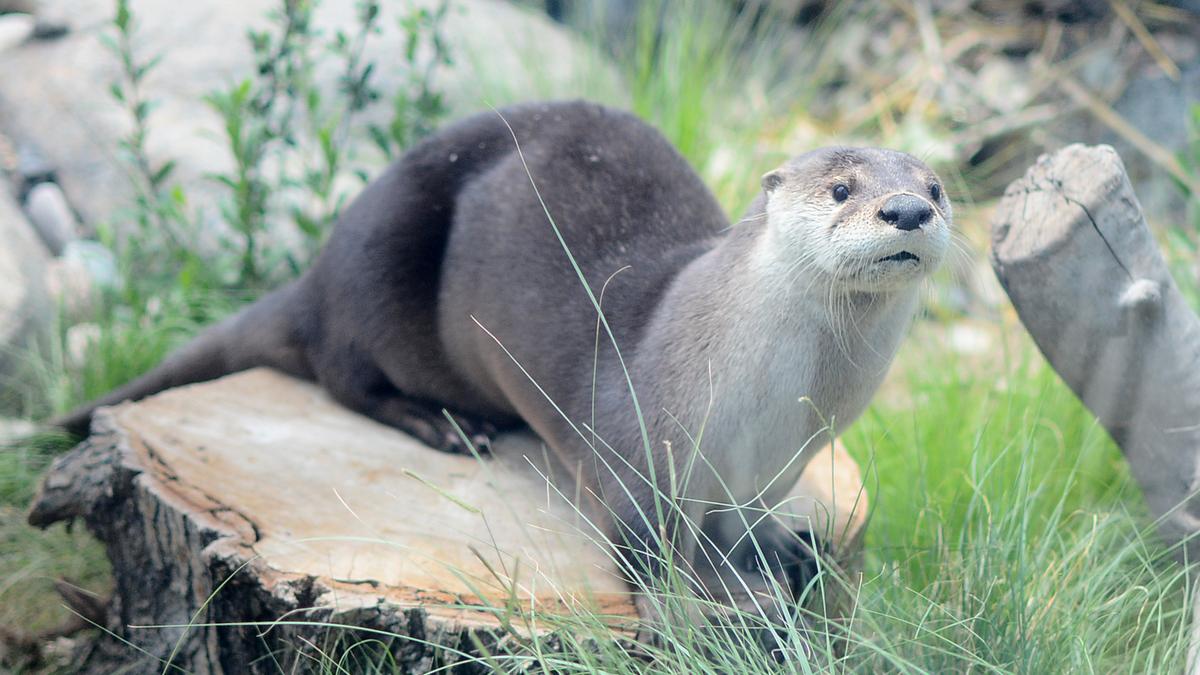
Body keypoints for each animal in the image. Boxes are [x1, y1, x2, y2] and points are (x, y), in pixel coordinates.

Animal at [56, 100, 950, 640]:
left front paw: (779, 556)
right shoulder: (641, 446)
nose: (907, 209)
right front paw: (688, 611)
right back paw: (446, 423)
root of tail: (317, 272)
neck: (777, 406)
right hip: (378, 263)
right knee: (345, 375)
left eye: (936, 186)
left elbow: (743, 527)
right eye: (841, 188)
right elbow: (644, 546)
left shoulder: (771, 467)